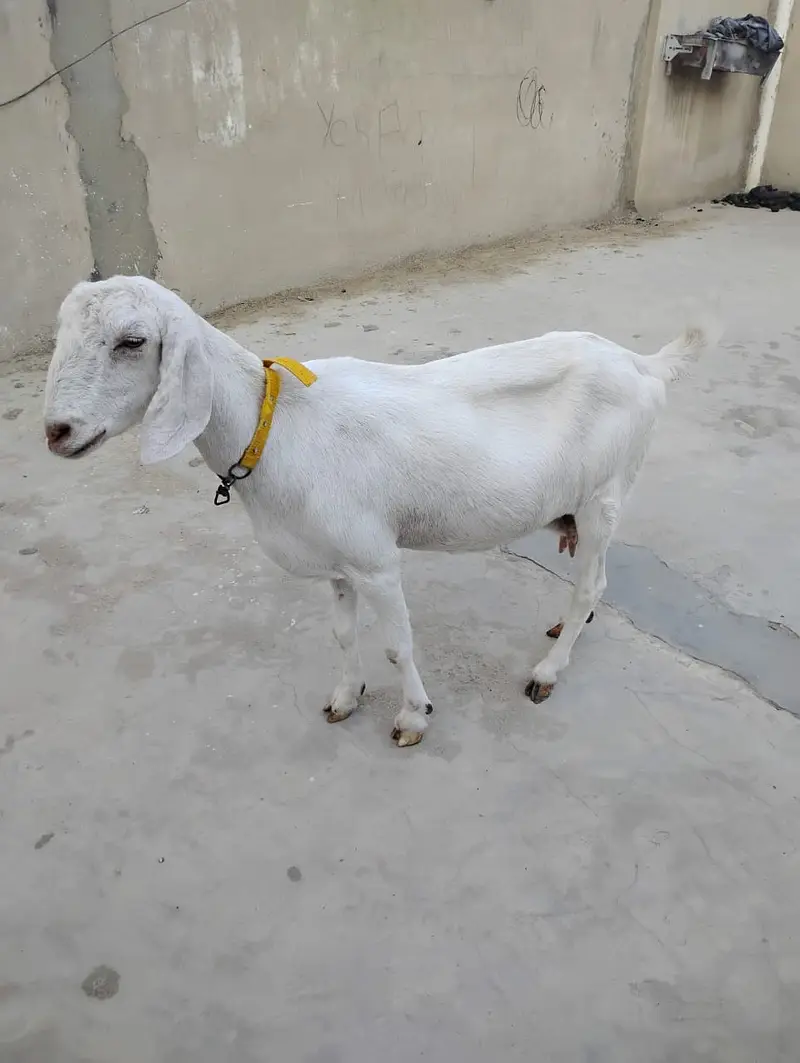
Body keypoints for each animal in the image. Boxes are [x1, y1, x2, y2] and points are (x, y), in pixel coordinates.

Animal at [44, 276, 716, 747]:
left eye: (132, 342)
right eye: (61, 336)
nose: (57, 431)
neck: (275, 424)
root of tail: (642, 364)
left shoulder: (375, 561)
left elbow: (398, 644)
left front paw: (413, 716)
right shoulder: (337, 563)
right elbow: (344, 634)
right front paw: (346, 696)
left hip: (605, 494)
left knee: (592, 581)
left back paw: (548, 671)